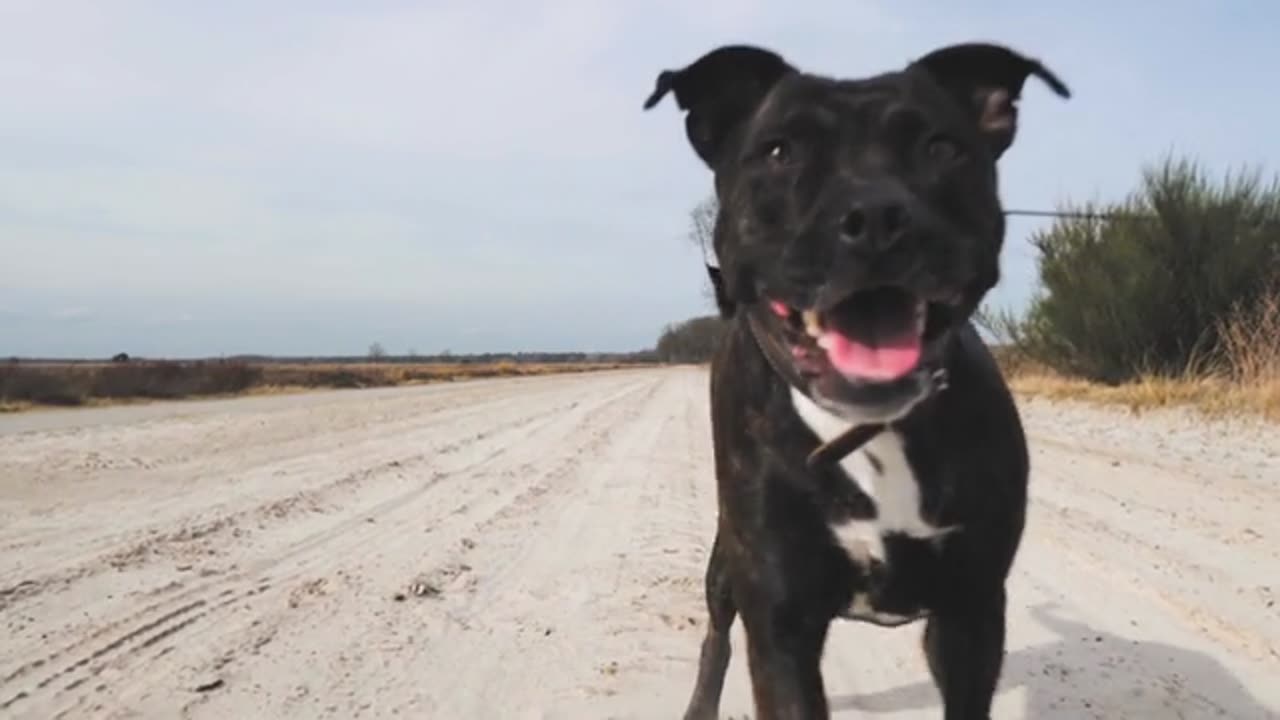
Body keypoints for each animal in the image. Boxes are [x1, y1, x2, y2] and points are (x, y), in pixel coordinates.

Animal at [640, 40, 1070, 717]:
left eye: (941, 148)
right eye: (780, 151)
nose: (874, 216)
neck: (870, 432)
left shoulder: (972, 612)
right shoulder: (779, 620)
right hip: (724, 566)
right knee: (716, 635)